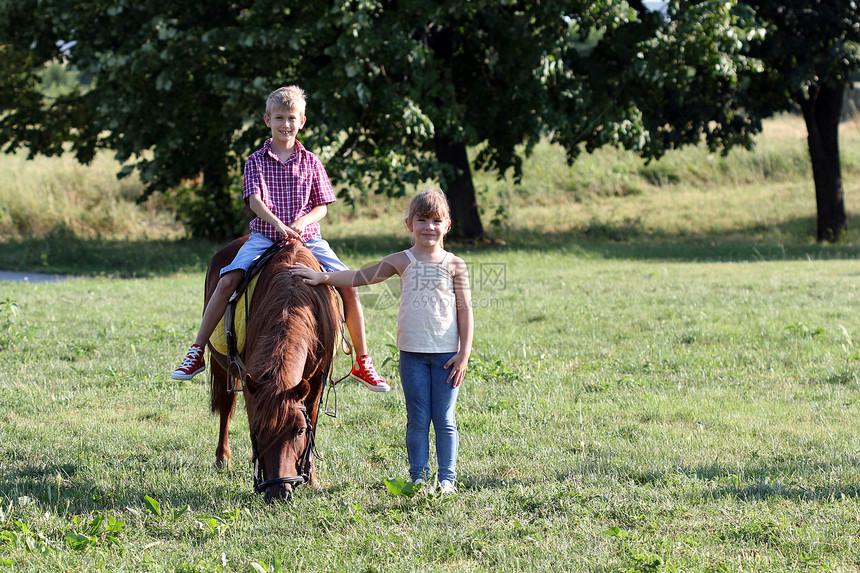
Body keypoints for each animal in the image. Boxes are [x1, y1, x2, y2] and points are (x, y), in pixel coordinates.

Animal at [205, 235, 340, 498]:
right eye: (257, 431)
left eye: (299, 431)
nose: (279, 491)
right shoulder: (251, 379)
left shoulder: (316, 379)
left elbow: (313, 418)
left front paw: (311, 480)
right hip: (222, 364)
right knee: (226, 407)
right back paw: (222, 459)